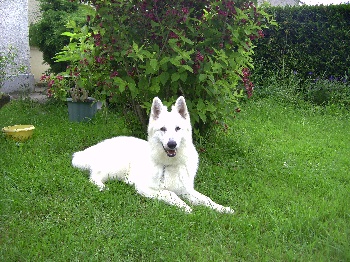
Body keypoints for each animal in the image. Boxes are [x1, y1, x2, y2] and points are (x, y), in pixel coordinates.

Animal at [72, 96, 234, 213]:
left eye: (177, 128)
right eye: (163, 129)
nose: (172, 144)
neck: (170, 165)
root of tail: (97, 146)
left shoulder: (187, 190)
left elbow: (206, 199)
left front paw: (223, 208)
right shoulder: (145, 188)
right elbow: (170, 193)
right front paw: (186, 207)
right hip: (116, 168)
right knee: (93, 176)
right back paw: (102, 187)